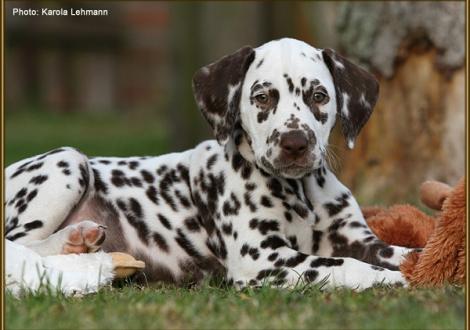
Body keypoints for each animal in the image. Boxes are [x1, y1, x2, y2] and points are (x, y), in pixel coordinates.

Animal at [4, 38, 412, 290]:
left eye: (319, 95)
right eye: (262, 97)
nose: (296, 143)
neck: (300, 193)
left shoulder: (358, 240)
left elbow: (400, 252)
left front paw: (417, 264)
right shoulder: (263, 259)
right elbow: (344, 265)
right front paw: (395, 280)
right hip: (68, 161)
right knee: (17, 247)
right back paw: (74, 243)